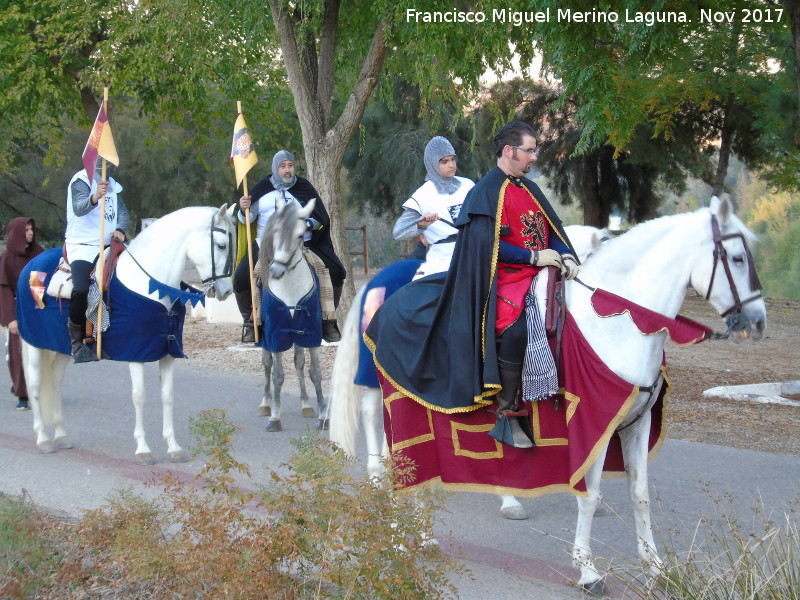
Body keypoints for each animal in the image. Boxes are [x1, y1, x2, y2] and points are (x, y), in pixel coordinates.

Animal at [20, 206, 236, 464]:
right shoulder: (136, 354)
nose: (227, 291)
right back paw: (43, 439)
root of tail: (31, 266)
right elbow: (139, 396)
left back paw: (61, 436)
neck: (149, 283)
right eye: (221, 245)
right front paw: (143, 449)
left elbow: (168, 395)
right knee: (35, 384)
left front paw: (173, 447)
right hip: (33, 344)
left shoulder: (167, 353)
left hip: (61, 349)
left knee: (54, 383)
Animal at [256, 197, 324, 432]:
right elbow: (277, 375)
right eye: (275, 231)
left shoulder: (310, 332)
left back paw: (306, 405)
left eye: (300, 235)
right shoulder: (276, 333)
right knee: (267, 364)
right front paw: (275, 418)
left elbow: (314, 372)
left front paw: (323, 416)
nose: (276, 271)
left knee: (299, 362)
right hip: (266, 338)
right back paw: (265, 404)